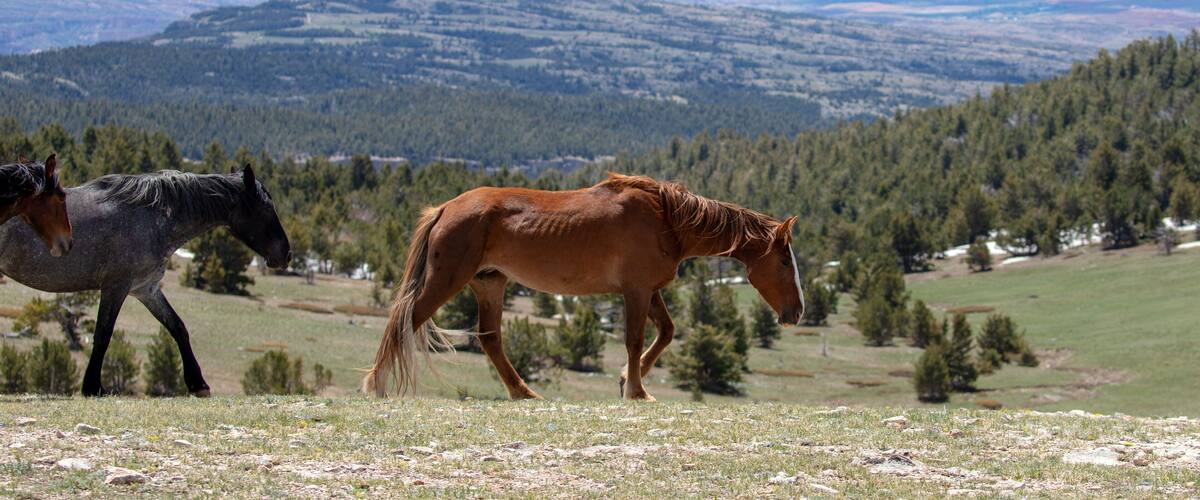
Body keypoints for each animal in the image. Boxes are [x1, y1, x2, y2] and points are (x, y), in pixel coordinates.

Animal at [0, 165, 291, 397]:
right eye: (266, 208)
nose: (286, 254)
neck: (153, 217)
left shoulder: (146, 289)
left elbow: (178, 327)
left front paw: (198, 384)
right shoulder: (116, 287)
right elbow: (103, 334)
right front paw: (93, 387)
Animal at [363, 173, 805, 401]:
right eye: (785, 261)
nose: (796, 312)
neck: (666, 219)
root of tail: (444, 209)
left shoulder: (650, 290)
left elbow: (666, 333)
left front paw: (627, 381)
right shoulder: (635, 291)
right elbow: (634, 339)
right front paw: (638, 391)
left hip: (489, 284)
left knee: (490, 339)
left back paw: (524, 393)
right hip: (447, 280)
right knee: (404, 320)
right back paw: (376, 385)